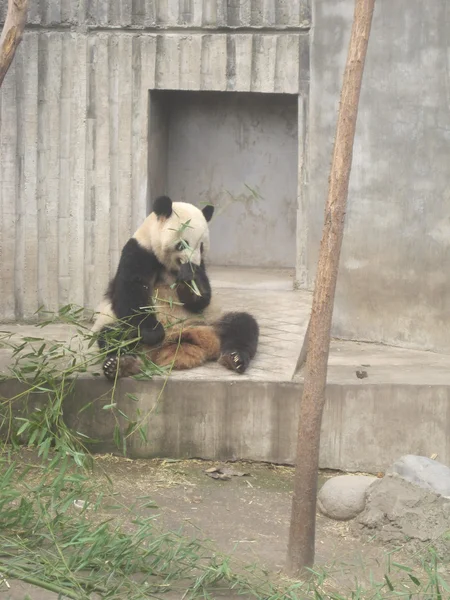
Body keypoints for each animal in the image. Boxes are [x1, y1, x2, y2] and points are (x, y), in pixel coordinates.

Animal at [91, 197, 258, 380]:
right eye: (182, 244)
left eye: (201, 247)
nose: (192, 264)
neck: (171, 268)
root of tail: (177, 338)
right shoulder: (139, 251)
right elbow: (130, 292)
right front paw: (153, 332)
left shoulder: (201, 268)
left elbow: (202, 299)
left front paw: (188, 284)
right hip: (120, 326)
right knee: (112, 336)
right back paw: (121, 364)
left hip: (209, 322)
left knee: (242, 324)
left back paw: (235, 358)